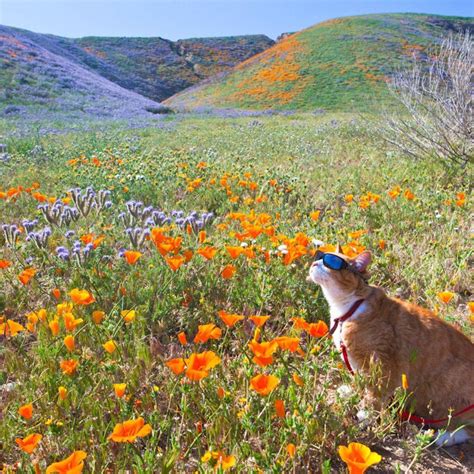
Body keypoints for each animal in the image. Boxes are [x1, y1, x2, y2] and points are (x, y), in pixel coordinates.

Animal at [308, 248, 474, 444]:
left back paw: (442, 437)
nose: (315, 261)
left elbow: (374, 392)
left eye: (331, 261)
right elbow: (360, 382)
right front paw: (351, 392)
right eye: (319, 255)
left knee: (467, 429)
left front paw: (365, 413)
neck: (348, 309)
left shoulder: (382, 362)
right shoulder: (357, 364)